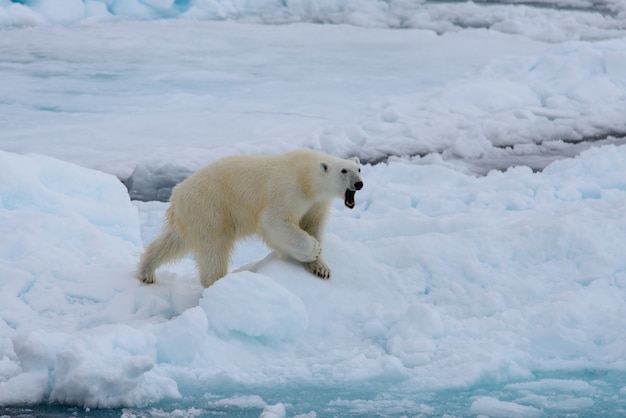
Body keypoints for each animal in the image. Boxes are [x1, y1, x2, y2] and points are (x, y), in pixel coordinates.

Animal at [136, 149, 360, 290]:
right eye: (343, 170)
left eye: (358, 169)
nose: (359, 184)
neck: (307, 176)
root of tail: (176, 194)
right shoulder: (288, 190)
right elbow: (274, 222)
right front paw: (313, 249)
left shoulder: (317, 203)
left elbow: (313, 225)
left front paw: (320, 268)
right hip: (210, 208)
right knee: (213, 248)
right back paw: (219, 282)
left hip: (192, 216)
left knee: (172, 241)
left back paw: (147, 272)